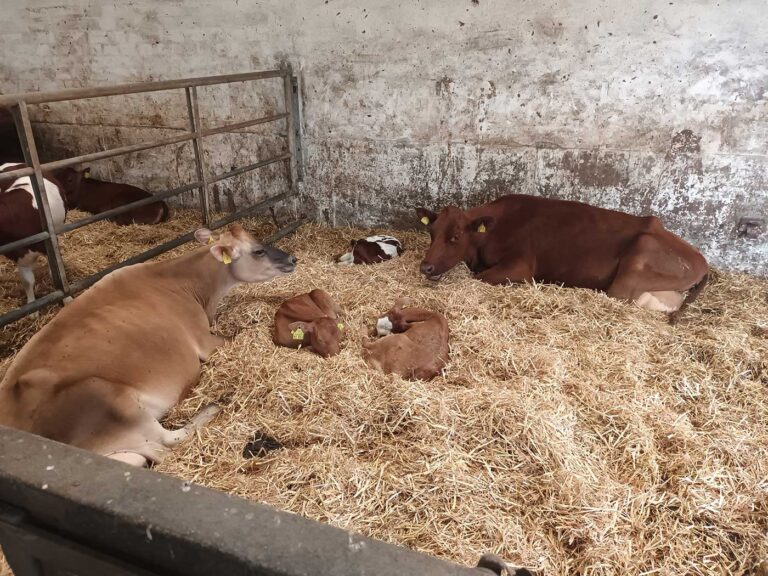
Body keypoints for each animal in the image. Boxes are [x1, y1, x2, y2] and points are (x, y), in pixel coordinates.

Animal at [0, 225, 296, 468]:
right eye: (258, 251)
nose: (293, 258)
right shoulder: (204, 339)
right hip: (108, 398)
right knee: (169, 442)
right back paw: (214, 405)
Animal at [416, 195, 712, 320]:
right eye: (431, 232)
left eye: (455, 236)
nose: (425, 267)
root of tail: (702, 262)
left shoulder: (521, 266)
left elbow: (478, 278)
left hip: (633, 267)